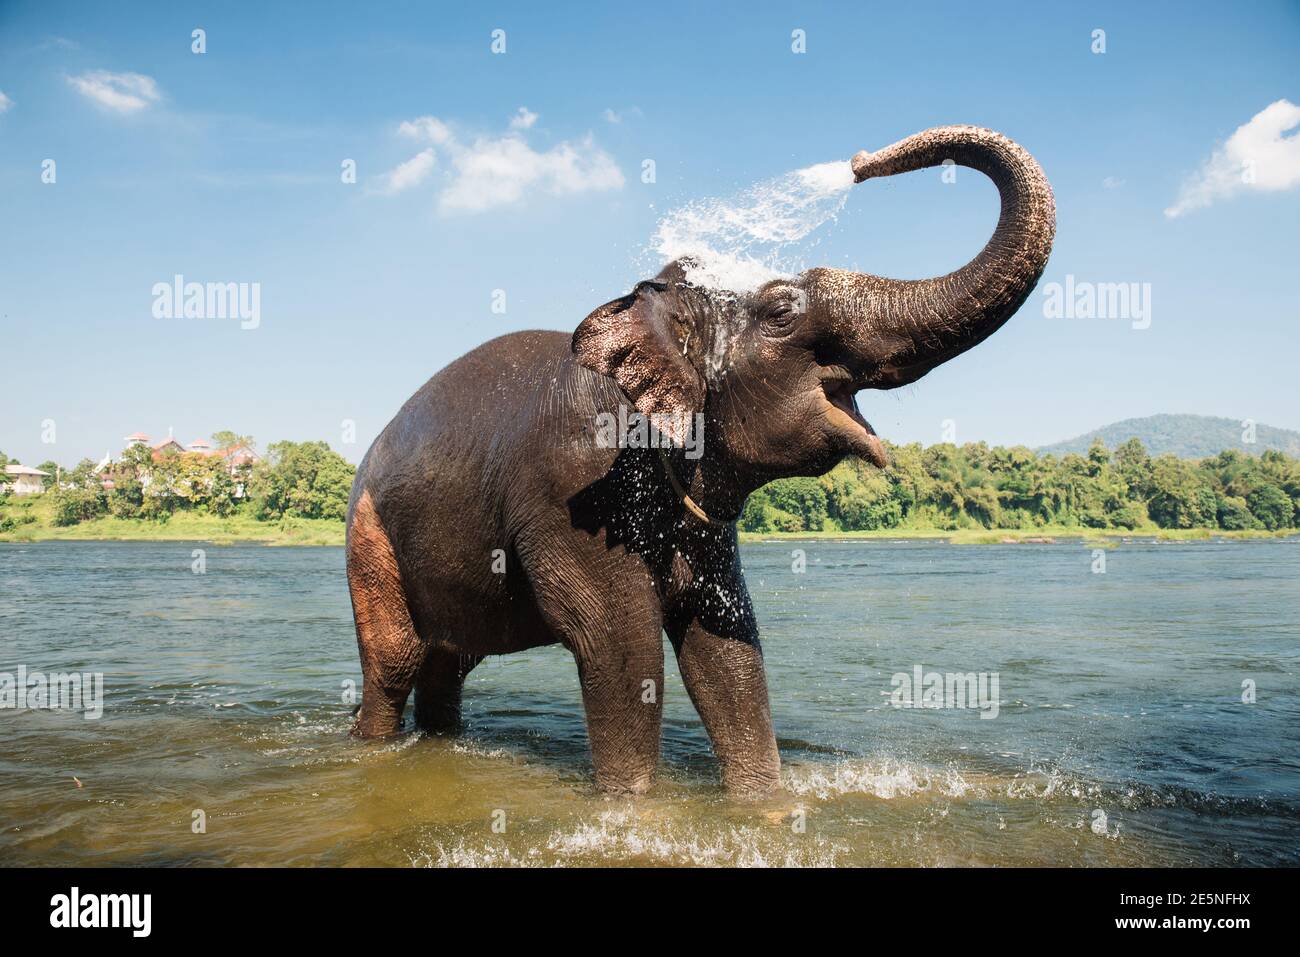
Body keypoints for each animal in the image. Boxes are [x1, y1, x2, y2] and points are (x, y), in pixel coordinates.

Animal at [348, 128, 1055, 800]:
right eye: (781, 312)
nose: (859, 161)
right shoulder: (573, 490)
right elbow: (622, 649)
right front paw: (632, 808)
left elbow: (725, 649)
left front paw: (761, 804)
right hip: (368, 539)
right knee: (395, 664)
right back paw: (372, 746)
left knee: (448, 663)